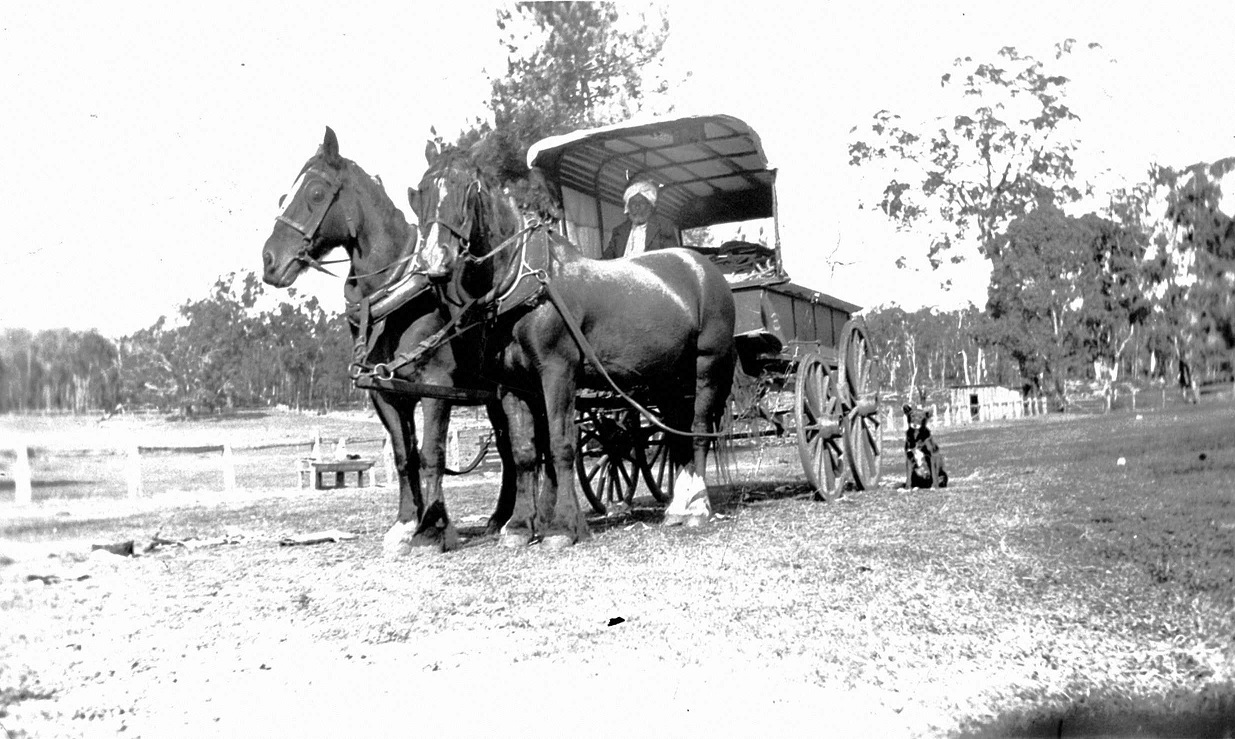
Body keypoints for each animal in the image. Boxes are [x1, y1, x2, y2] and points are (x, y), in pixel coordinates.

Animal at [258, 129, 513, 556]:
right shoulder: (386, 394)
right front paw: (406, 523)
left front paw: (435, 529)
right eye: (283, 196)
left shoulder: (436, 387)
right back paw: (502, 516)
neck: (398, 299)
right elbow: (402, 456)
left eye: (315, 192)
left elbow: (431, 455)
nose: (270, 261)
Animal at [407, 143, 731, 551]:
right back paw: (678, 507)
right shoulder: (513, 386)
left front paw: (563, 527)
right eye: (420, 192)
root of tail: (701, 265)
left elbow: (561, 444)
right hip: (666, 378)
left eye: (468, 189)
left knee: (699, 429)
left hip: (707, 367)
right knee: (675, 432)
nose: (435, 261)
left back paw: (698, 508)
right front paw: (518, 526)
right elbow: (525, 452)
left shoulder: (557, 372)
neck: (526, 283)